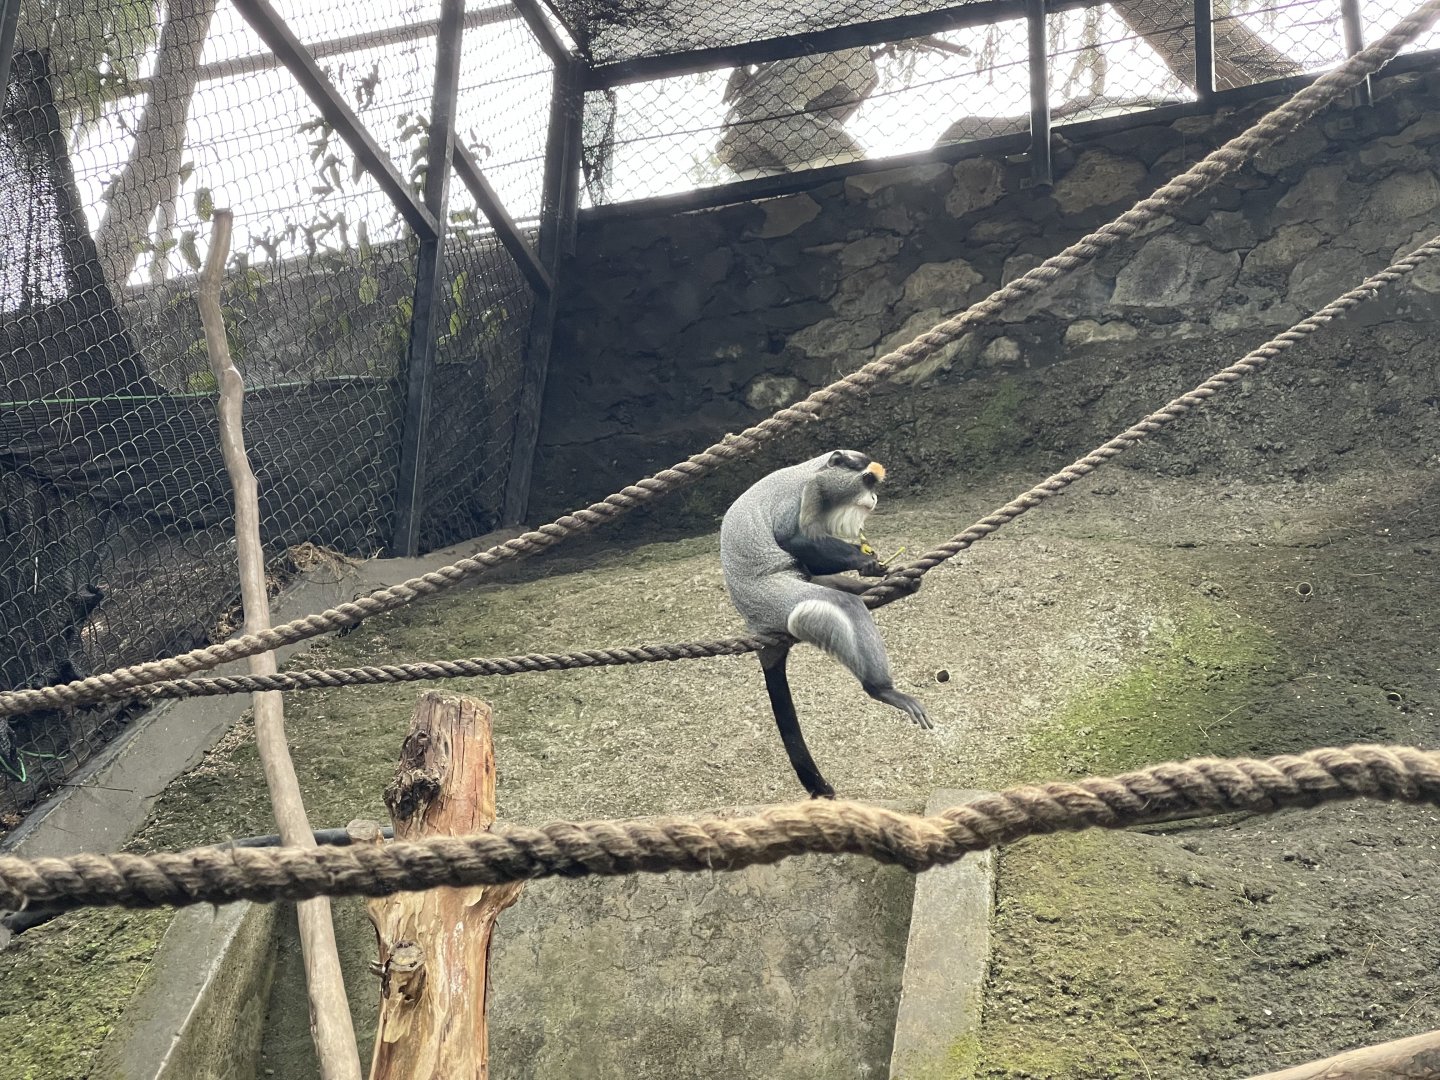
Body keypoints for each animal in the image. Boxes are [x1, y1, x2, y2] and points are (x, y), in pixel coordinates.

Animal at [720, 449, 929, 799]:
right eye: (868, 480)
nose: (874, 498)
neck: (813, 470)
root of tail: (755, 624)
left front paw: (879, 569)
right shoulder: (805, 495)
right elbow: (792, 539)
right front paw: (866, 561)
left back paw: (897, 586)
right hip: (775, 600)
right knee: (840, 605)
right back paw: (882, 689)